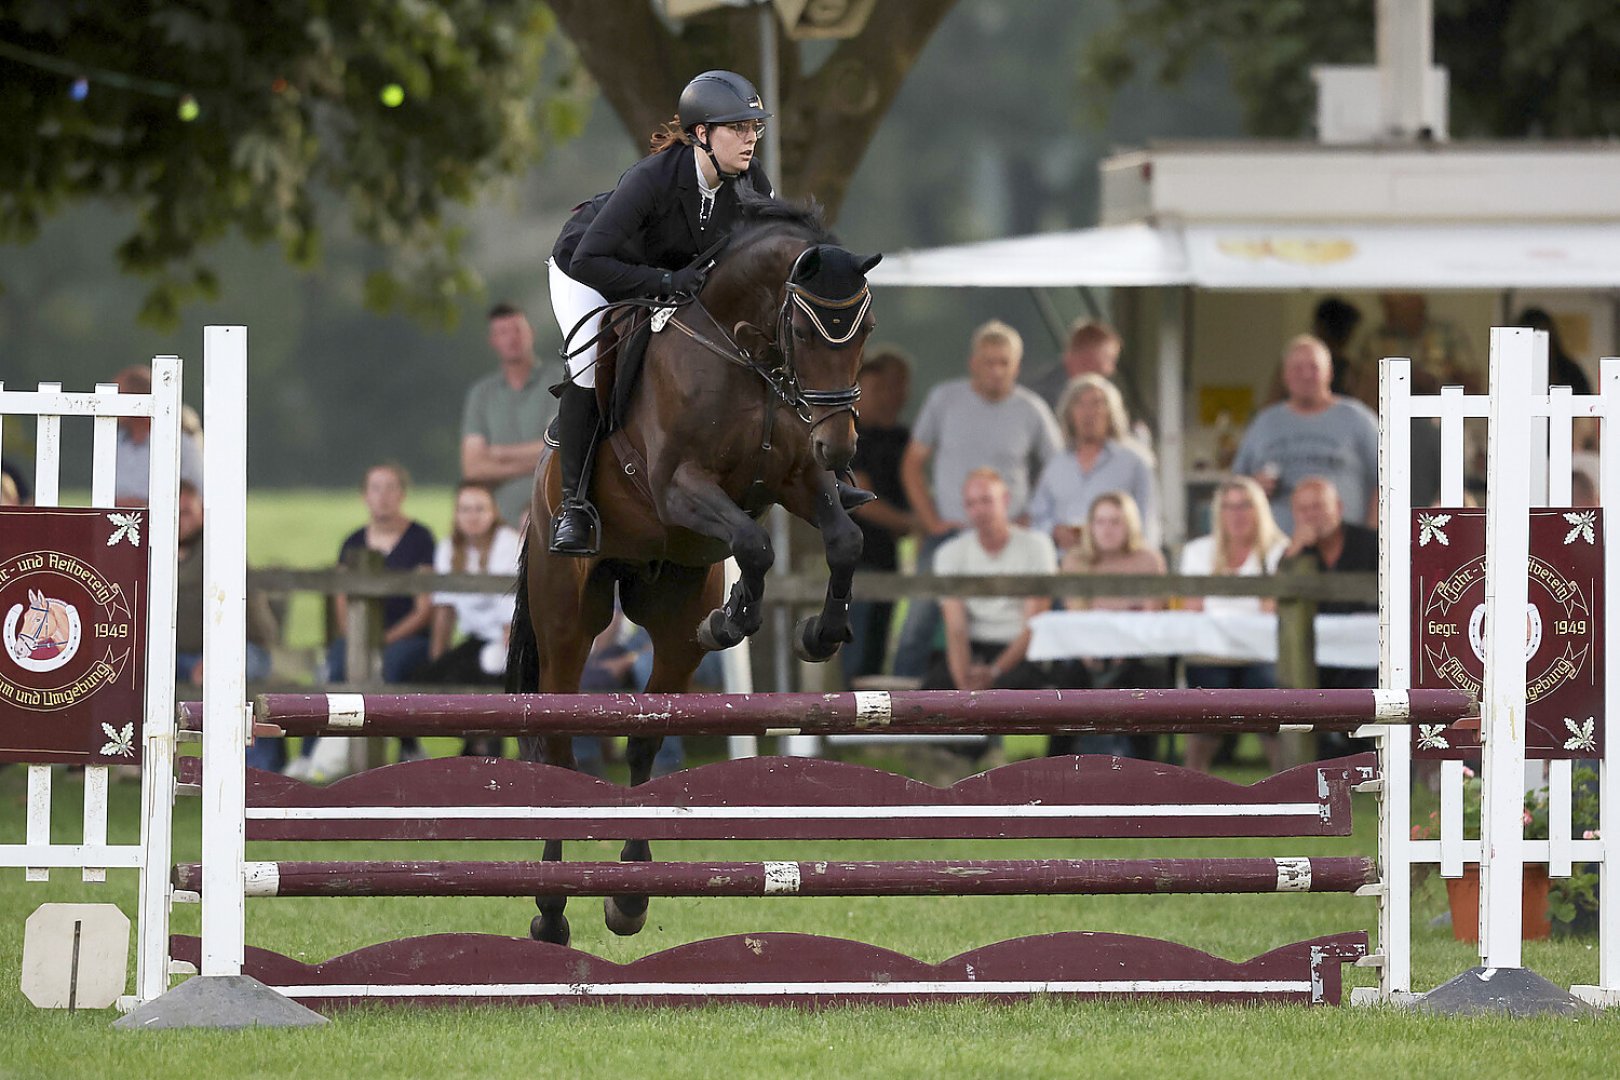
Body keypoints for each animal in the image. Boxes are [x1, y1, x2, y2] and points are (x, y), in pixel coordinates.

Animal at [511, 196, 881, 945]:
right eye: (806, 326)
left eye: (866, 329)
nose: (840, 446)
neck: (744, 351)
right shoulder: (680, 487)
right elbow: (758, 544)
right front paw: (735, 617)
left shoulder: (797, 479)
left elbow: (845, 540)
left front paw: (819, 634)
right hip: (567, 620)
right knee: (556, 743)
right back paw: (552, 908)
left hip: (671, 613)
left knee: (645, 739)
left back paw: (628, 897)